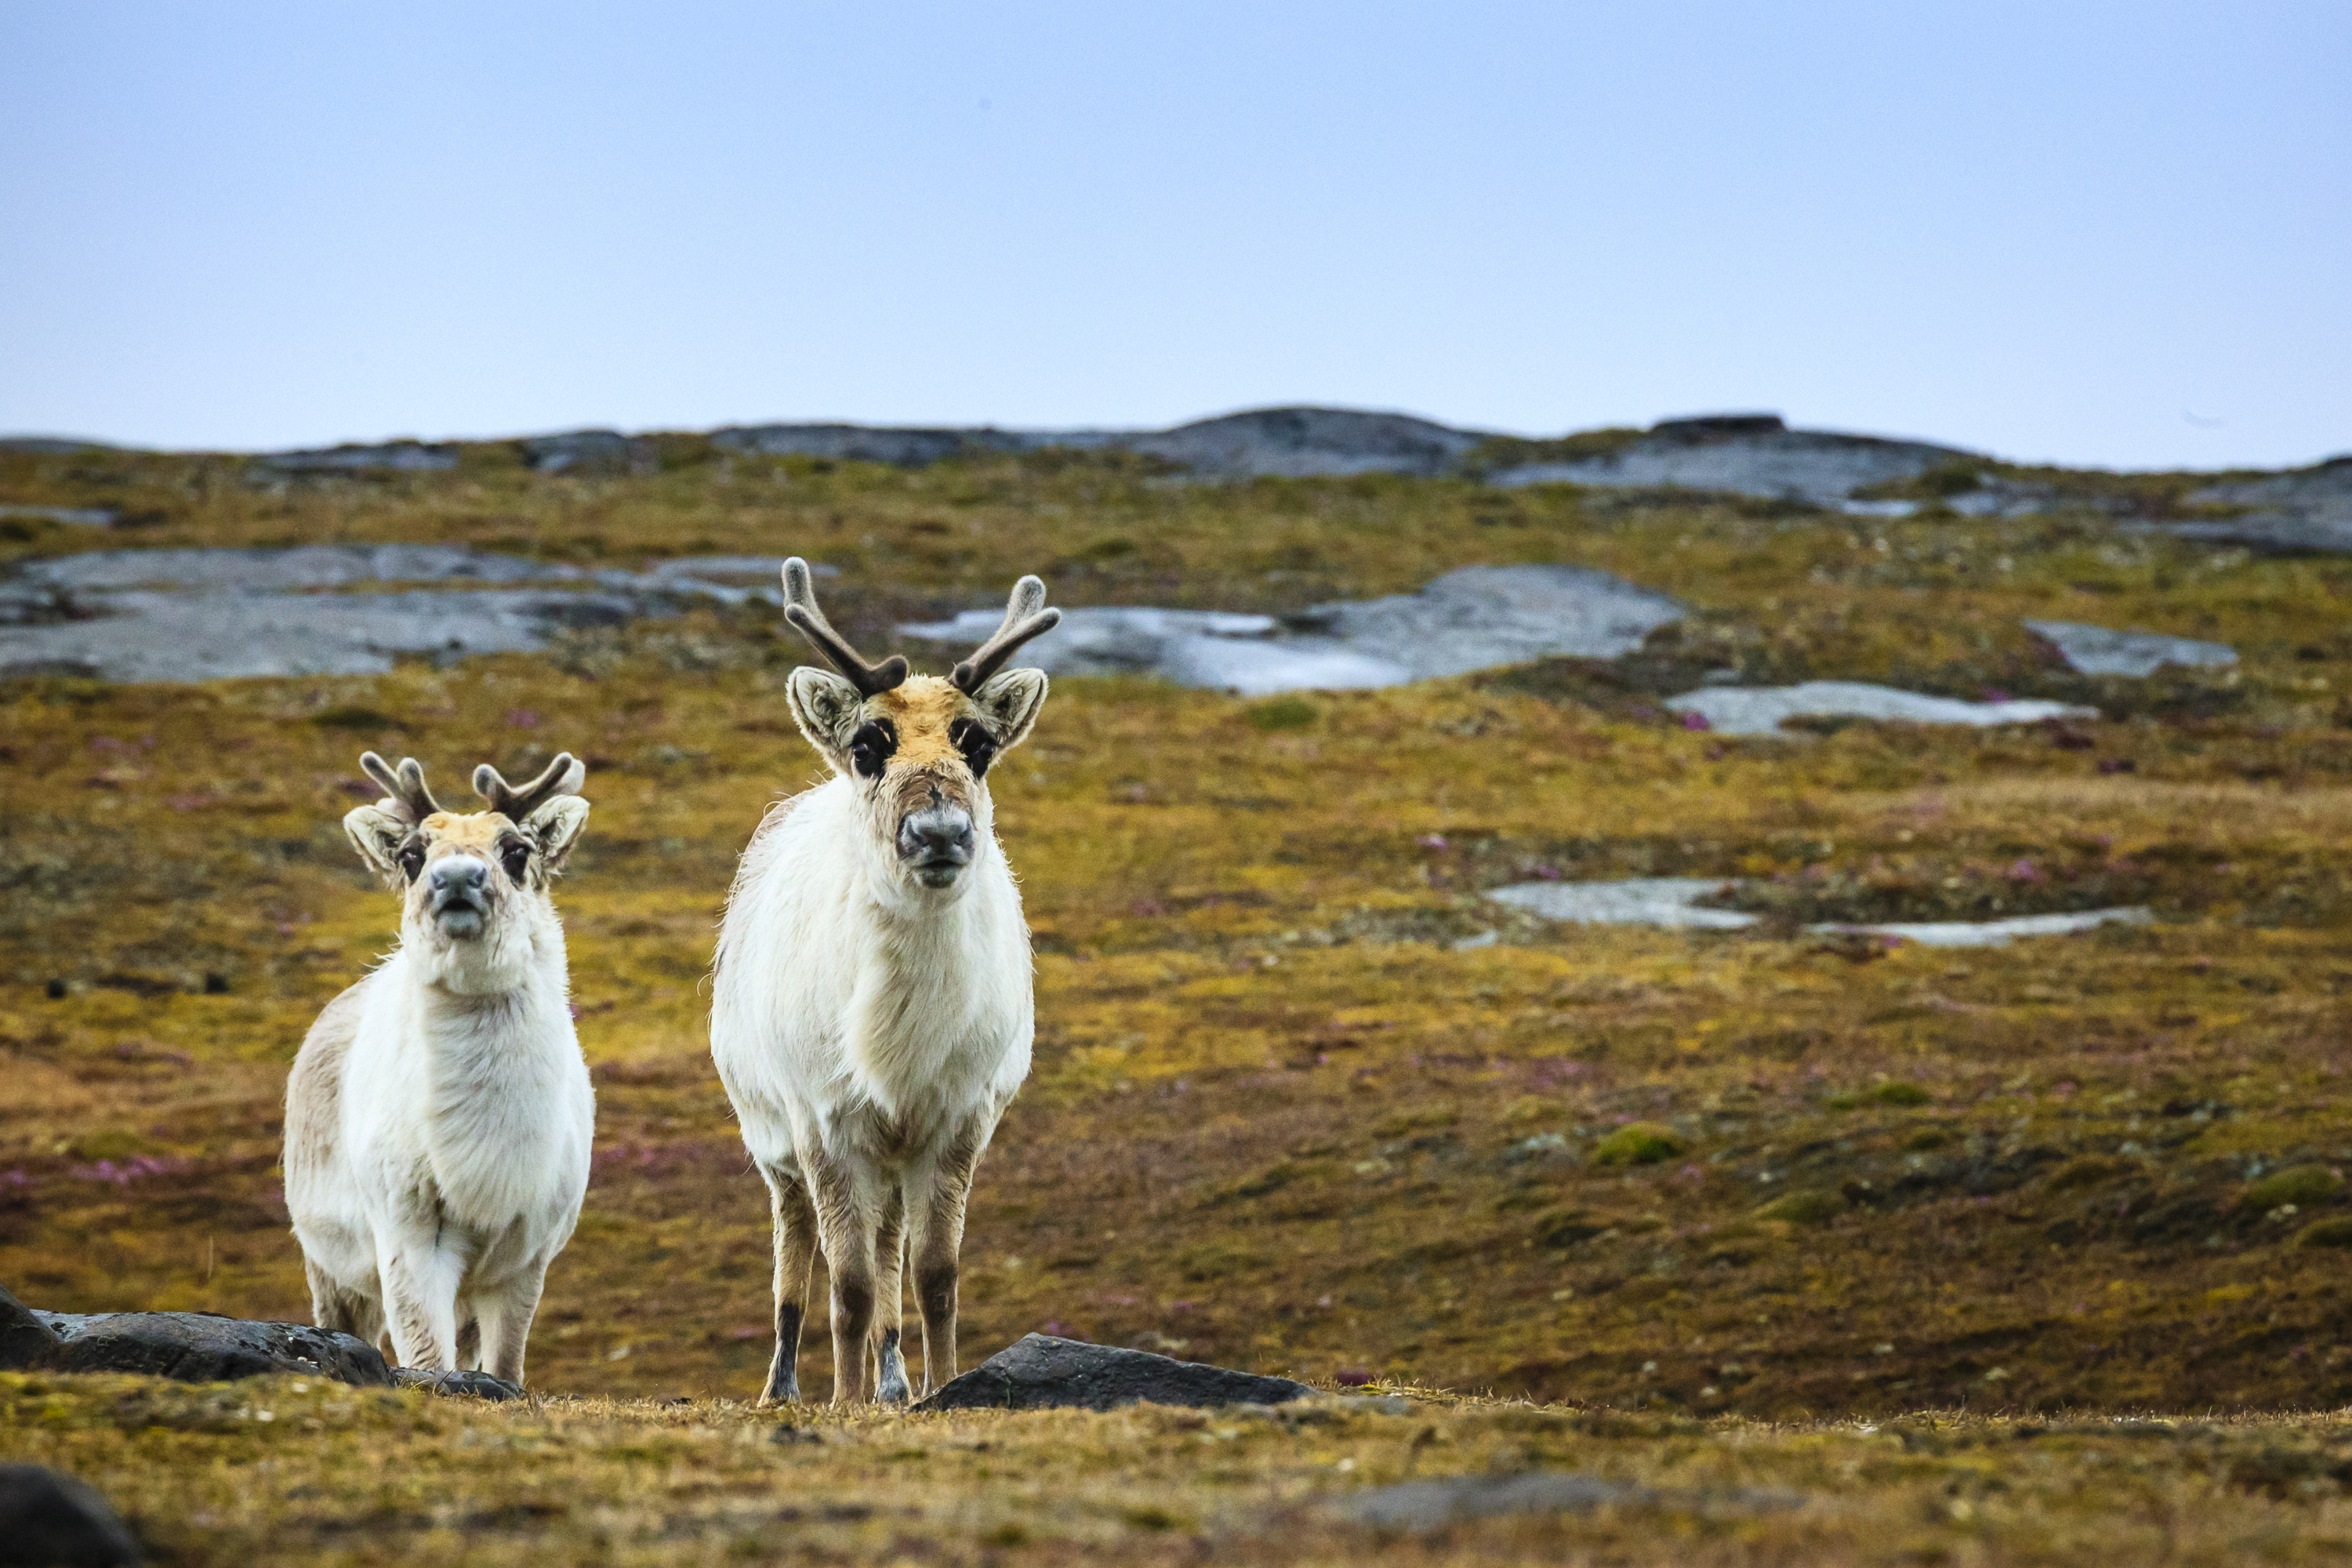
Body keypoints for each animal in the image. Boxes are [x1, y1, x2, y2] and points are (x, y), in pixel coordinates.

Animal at [284, 750, 595, 1388]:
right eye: (411, 855)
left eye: (516, 849)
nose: (454, 878)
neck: (482, 1160)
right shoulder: (405, 1230)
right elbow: (426, 1356)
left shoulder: (528, 1251)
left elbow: (506, 1363)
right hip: (328, 1263)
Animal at [711, 559, 1060, 1405]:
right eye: (869, 744)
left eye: (979, 743)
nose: (938, 832)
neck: (899, 1035)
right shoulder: (824, 1120)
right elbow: (849, 1282)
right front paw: (842, 1399)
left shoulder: (961, 1114)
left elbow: (933, 1273)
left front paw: (942, 1385)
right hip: (772, 1139)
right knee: (796, 1251)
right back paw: (783, 1387)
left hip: (895, 1161)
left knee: (892, 1241)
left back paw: (895, 1381)